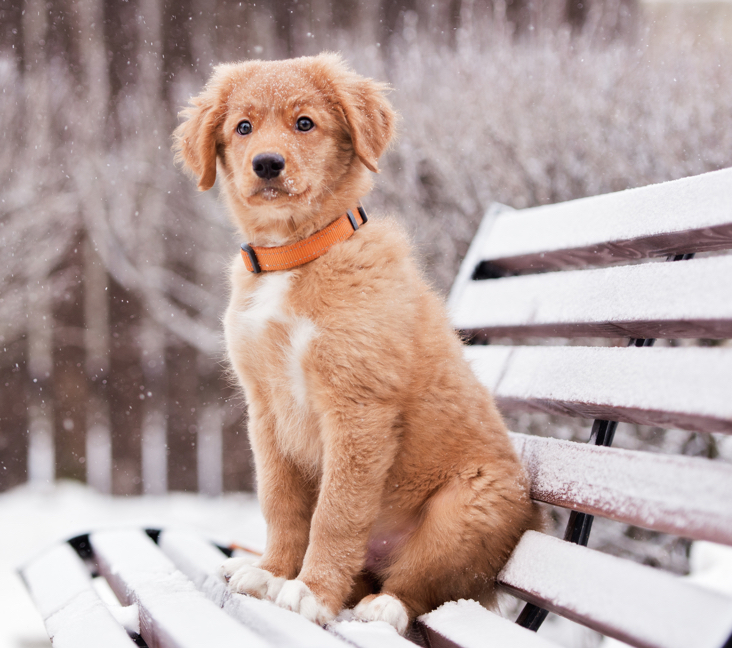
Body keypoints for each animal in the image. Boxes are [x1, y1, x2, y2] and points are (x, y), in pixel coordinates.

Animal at [172, 53, 536, 636]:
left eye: (305, 123)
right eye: (243, 128)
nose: (267, 164)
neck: (295, 254)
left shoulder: (357, 407)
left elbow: (336, 513)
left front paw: (311, 591)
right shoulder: (265, 410)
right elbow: (282, 502)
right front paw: (272, 572)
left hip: (470, 505)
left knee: (426, 586)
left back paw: (382, 605)